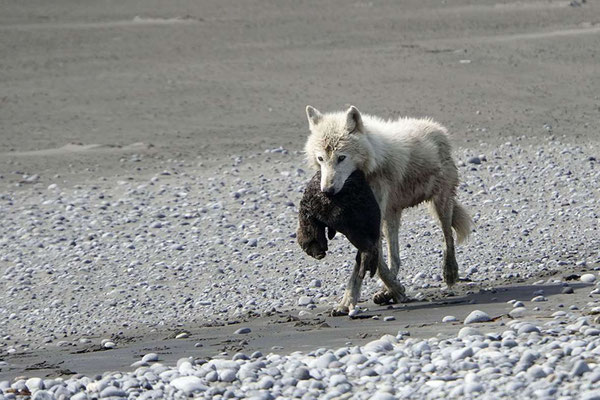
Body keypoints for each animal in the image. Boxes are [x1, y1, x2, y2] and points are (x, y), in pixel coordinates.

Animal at [304, 104, 474, 314]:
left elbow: (362, 265)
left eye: (341, 158)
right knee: (396, 258)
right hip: (392, 217)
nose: (327, 191)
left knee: (448, 238)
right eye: (321, 158)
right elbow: (376, 262)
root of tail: (437, 128)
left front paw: (347, 302)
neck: (370, 166)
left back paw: (450, 272)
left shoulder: (370, 223)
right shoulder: (367, 225)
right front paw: (394, 290)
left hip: (439, 205)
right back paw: (388, 292)